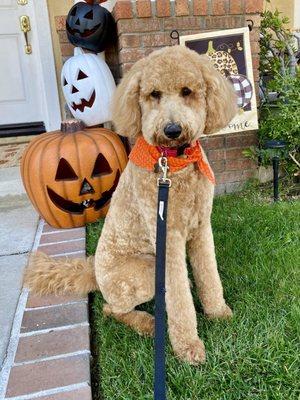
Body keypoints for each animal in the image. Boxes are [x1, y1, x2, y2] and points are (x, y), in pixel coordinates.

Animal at [25, 45, 237, 364]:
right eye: (154, 94)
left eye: (187, 91)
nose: (172, 129)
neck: (174, 162)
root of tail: (93, 272)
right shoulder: (168, 237)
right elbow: (178, 301)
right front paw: (187, 346)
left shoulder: (201, 229)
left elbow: (208, 273)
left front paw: (217, 311)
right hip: (145, 271)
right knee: (111, 308)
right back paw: (148, 324)